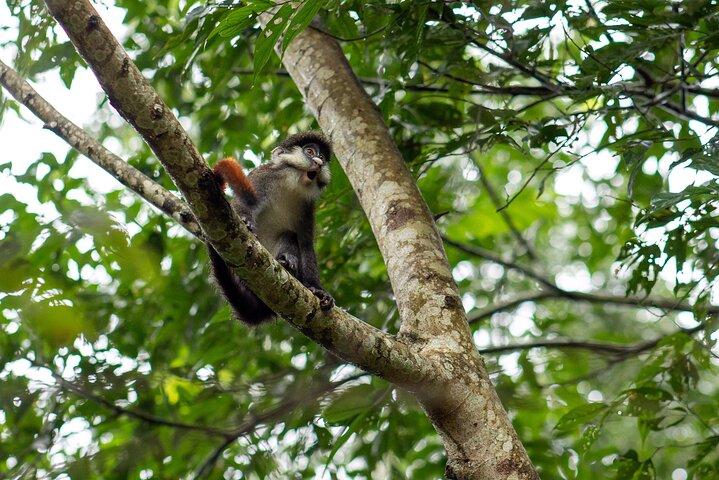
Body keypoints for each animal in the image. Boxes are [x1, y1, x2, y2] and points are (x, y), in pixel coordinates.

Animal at [207, 131, 335, 325]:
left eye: (322, 157)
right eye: (310, 151)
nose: (319, 162)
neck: (291, 184)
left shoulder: (307, 207)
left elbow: (305, 243)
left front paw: (317, 289)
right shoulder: (263, 177)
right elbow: (242, 203)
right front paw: (246, 221)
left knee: (289, 234)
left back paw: (287, 262)